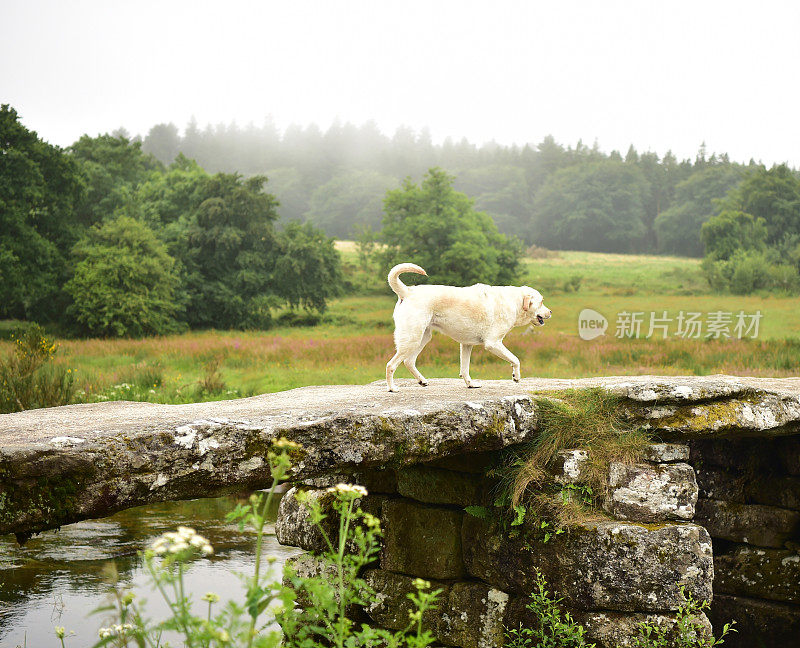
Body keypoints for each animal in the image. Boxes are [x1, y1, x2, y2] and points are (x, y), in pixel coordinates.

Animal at [386, 262, 552, 392]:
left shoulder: (466, 344)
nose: (550, 312)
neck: (515, 302)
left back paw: (422, 381)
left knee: (409, 361)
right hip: (412, 338)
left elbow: (464, 369)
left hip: (423, 338)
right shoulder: (493, 343)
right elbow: (515, 359)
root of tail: (408, 291)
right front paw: (516, 377)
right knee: (391, 365)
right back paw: (392, 388)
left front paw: (470, 384)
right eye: (542, 301)